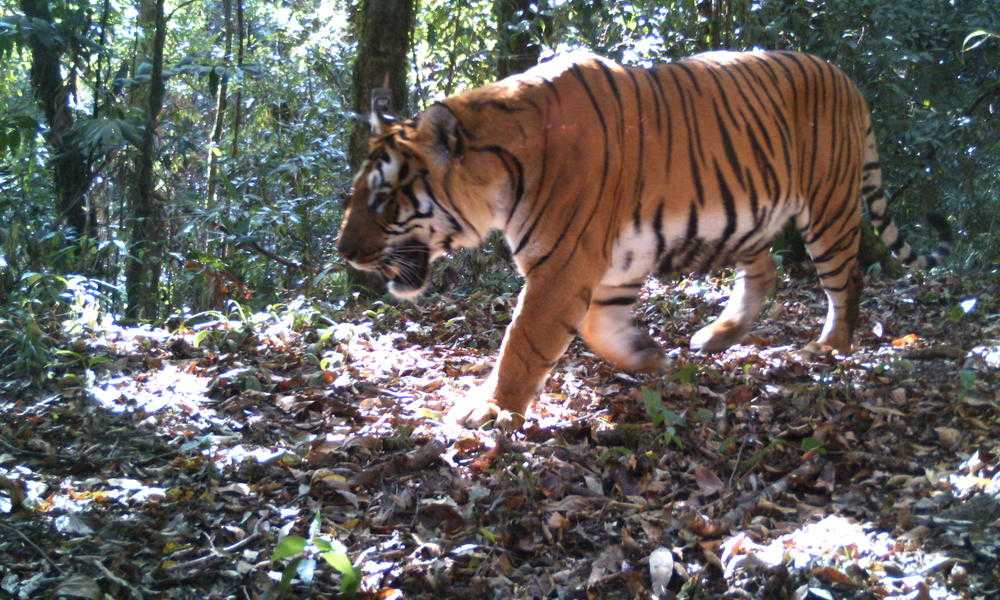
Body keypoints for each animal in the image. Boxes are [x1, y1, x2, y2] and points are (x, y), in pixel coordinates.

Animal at [338, 50, 952, 426]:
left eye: (383, 196)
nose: (343, 252)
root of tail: (847, 78)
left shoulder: (563, 264)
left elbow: (523, 342)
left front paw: (488, 411)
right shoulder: (610, 262)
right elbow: (597, 326)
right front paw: (648, 356)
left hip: (827, 208)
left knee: (847, 279)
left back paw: (829, 347)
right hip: (752, 216)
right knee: (767, 271)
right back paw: (717, 335)